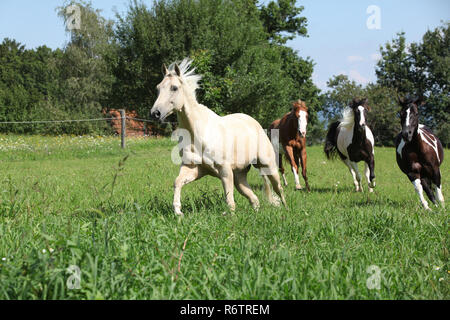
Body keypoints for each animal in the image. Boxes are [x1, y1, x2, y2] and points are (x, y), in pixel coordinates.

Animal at [150, 58, 284, 216]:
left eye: (174, 88)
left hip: (268, 166)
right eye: (158, 88)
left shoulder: (225, 171)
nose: (155, 113)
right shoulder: (193, 168)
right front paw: (178, 211)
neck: (198, 135)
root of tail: (255, 123)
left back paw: (286, 210)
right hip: (239, 177)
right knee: (254, 199)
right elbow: (177, 182)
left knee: (279, 189)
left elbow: (229, 200)